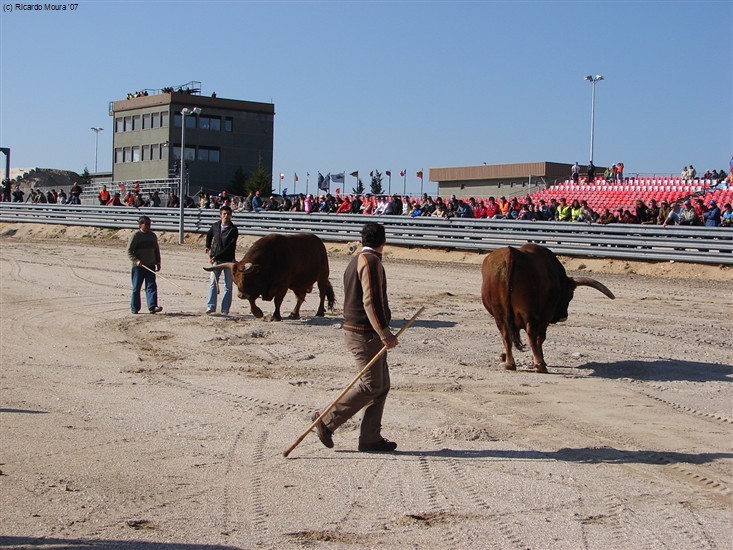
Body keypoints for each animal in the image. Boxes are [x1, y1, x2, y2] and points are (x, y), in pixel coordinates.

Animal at [203, 234, 334, 322]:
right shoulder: (257, 288)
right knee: (300, 298)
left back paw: (319, 312)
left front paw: (276, 316)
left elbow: (278, 300)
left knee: (322, 294)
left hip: (322, 277)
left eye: (247, 279)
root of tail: (319, 242)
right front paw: (258, 313)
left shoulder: (282, 285)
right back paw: (294, 313)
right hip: (298, 283)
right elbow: (251, 300)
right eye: (235, 281)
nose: (240, 296)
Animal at [480, 246, 612, 376]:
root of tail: (511, 253)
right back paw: (539, 365)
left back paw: (510, 363)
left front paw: (503, 355)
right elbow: (541, 337)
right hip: (530, 314)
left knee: (506, 335)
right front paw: (539, 360)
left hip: (499, 314)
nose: (563, 316)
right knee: (532, 335)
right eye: (570, 295)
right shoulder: (545, 316)